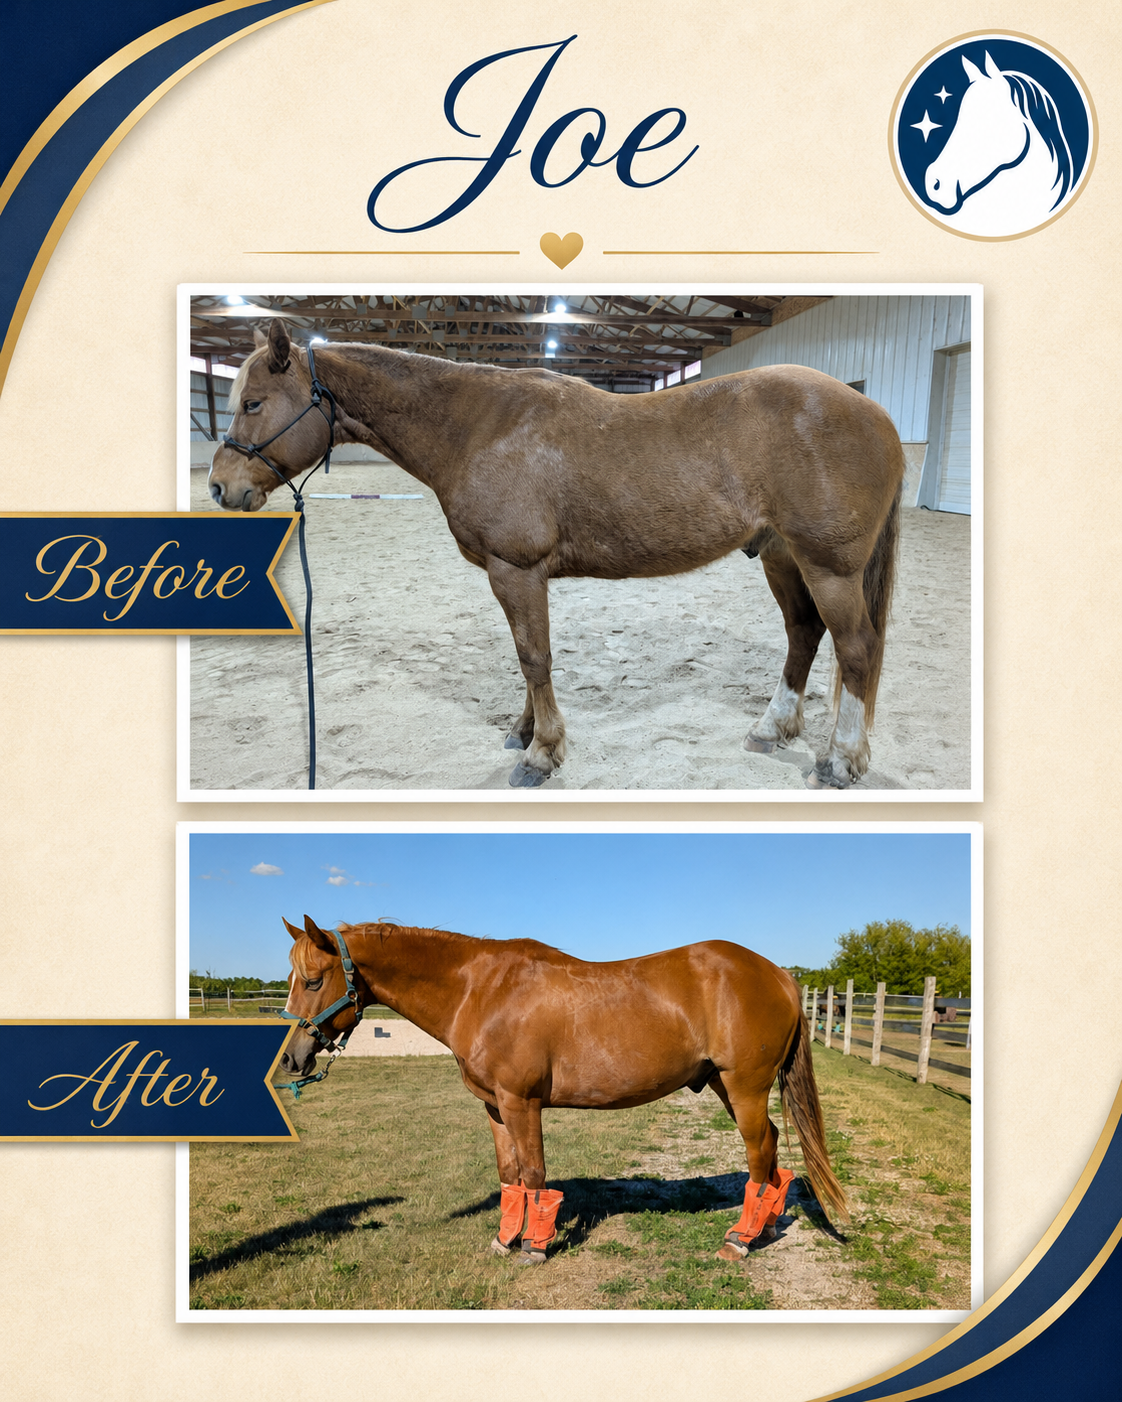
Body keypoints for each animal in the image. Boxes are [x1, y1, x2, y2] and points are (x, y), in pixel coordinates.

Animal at [209, 318, 903, 789]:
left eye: (252, 402)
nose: (220, 487)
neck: (478, 426)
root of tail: (877, 414)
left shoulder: (515, 571)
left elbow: (534, 658)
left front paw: (542, 753)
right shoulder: (516, 576)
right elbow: (527, 660)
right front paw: (523, 734)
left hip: (829, 567)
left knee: (856, 649)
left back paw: (841, 760)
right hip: (784, 557)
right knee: (804, 633)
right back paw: (771, 729)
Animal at [278, 915, 848, 1264]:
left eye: (313, 980)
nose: (292, 1058)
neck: (480, 991)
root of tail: (779, 975)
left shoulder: (521, 1102)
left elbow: (534, 1175)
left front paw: (535, 1246)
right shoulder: (495, 1107)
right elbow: (510, 1175)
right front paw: (505, 1240)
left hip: (743, 1086)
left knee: (758, 1151)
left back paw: (739, 1241)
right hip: (725, 1086)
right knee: (772, 1148)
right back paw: (765, 1229)